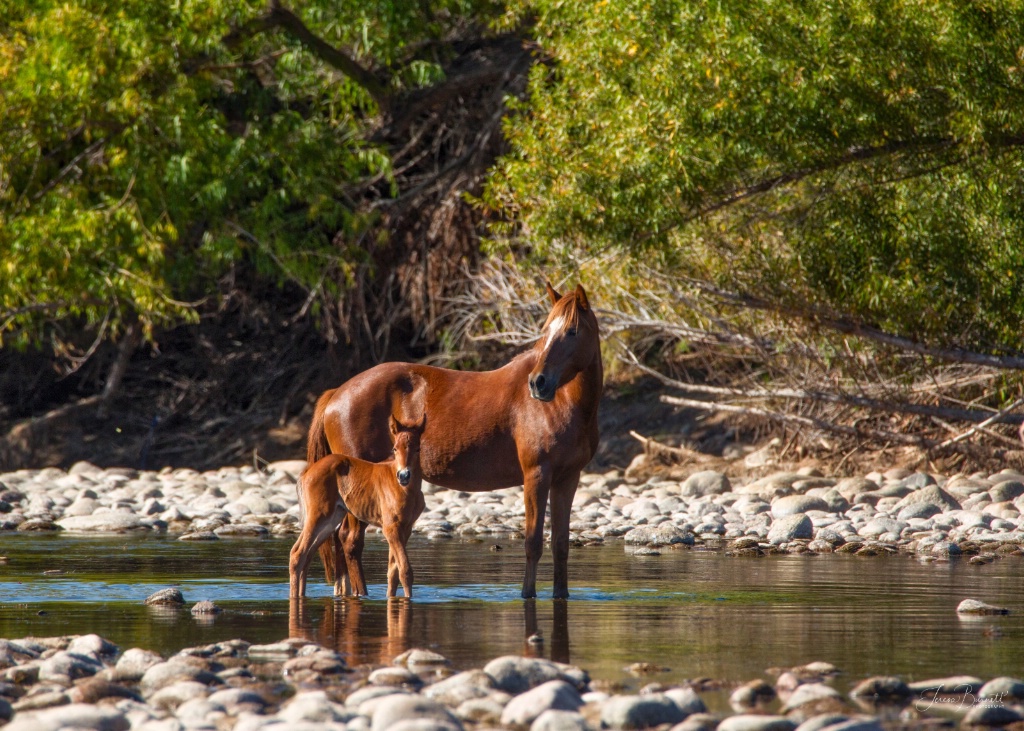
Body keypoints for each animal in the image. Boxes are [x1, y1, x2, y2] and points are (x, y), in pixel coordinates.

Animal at [290, 415, 425, 597]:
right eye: (395, 449)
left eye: (417, 449)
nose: (404, 475)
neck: (407, 490)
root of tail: (307, 472)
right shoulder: (391, 527)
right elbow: (405, 571)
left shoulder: (406, 528)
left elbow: (393, 573)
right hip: (318, 515)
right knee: (297, 554)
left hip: (331, 519)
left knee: (307, 555)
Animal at [307, 282, 602, 593]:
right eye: (545, 331)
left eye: (572, 331)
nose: (538, 383)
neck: (562, 404)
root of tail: (336, 394)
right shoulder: (536, 475)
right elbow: (533, 543)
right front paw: (527, 595)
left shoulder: (567, 479)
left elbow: (560, 545)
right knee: (351, 542)